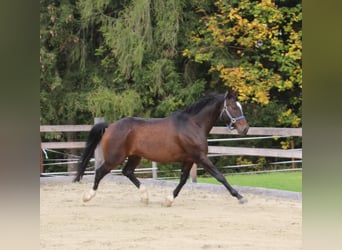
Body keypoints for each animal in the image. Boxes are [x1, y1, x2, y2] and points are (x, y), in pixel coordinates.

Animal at [74, 91, 248, 206]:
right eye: (233, 107)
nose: (245, 128)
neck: (193, 124)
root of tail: (110, 126)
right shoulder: (200, 157)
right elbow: (220, 176)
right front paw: (240, 197)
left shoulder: (189, 159)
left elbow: (183, 180)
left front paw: (168, 200)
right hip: (114, 158)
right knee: (99, 172)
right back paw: (87, 196)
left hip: (134, 156)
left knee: (127, 172)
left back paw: (145, 197)